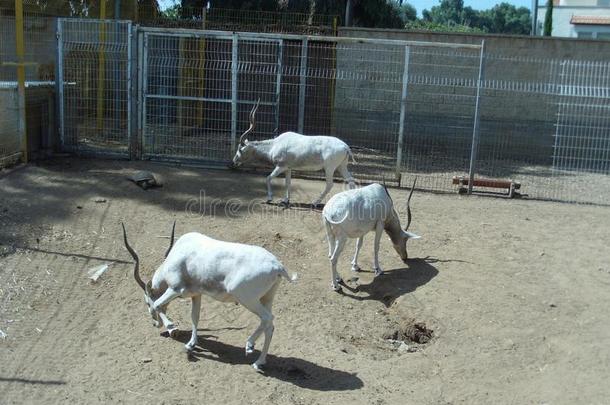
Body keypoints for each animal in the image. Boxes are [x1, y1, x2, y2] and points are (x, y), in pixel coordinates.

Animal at [120, 221, 296, 370]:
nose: (155, 324)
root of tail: (277, 266)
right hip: (266, 298)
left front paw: (173, 329)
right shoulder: (196, 294)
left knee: (267, 318)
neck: (179, 251)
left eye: (146, 302)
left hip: (246, 298)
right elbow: (194, 317)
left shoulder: (176, 289)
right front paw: (190, 344)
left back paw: (250, 345)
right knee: (269, 326)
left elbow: (159, 305)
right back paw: (259, 362)